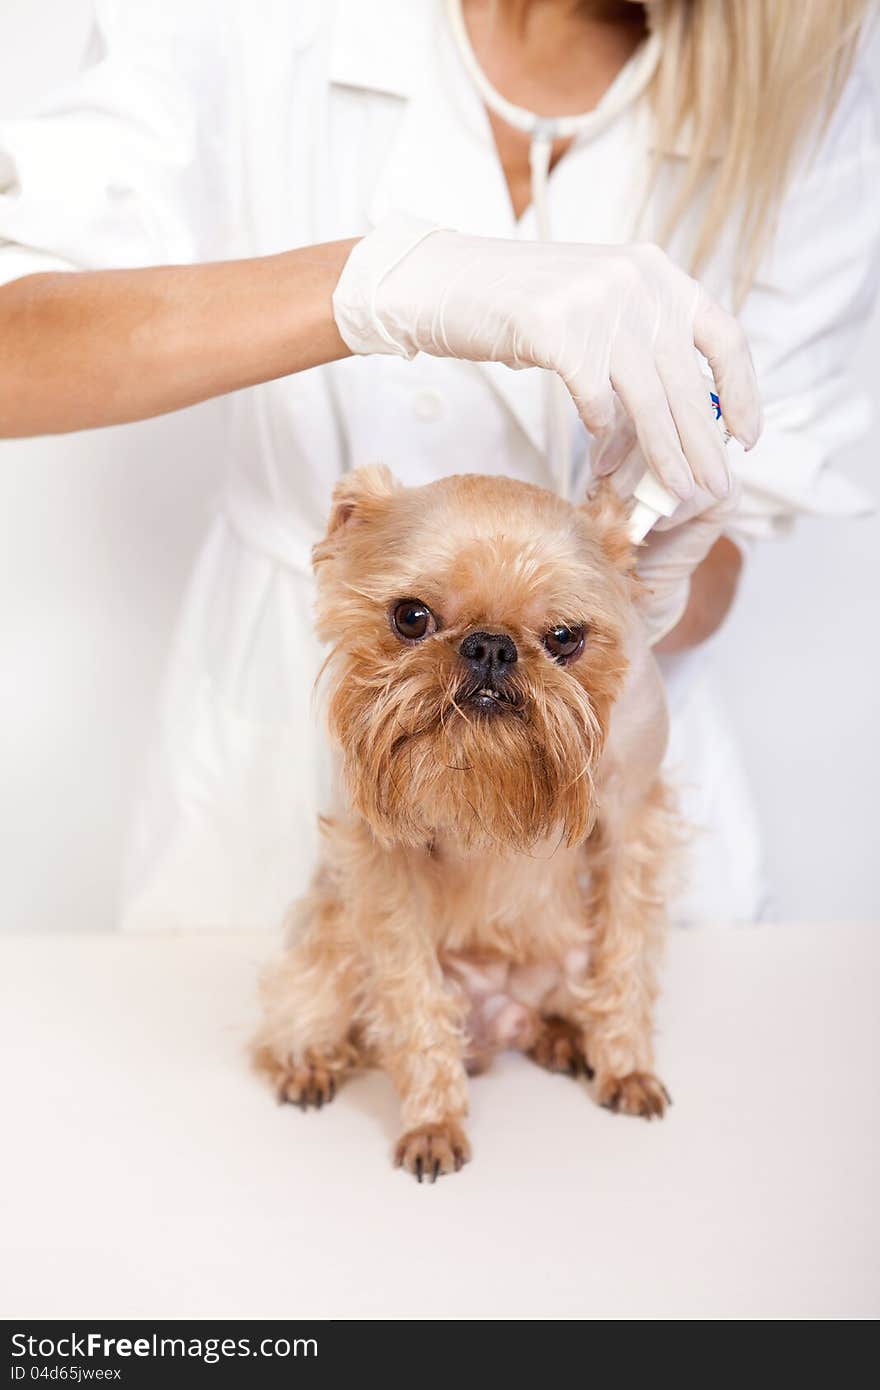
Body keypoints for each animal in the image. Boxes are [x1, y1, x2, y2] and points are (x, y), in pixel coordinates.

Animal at [250, 469, 675, 1184]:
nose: (492, 645)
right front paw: (434, 1122)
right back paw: (305, 1062)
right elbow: (413, 998)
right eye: (411, 617)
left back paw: (566, 1038)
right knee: (302, 1012)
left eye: (565, 637)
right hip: (331, 942)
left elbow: (627, 958)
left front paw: (625, 1066)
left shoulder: (632, 826)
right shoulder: (382, 867)